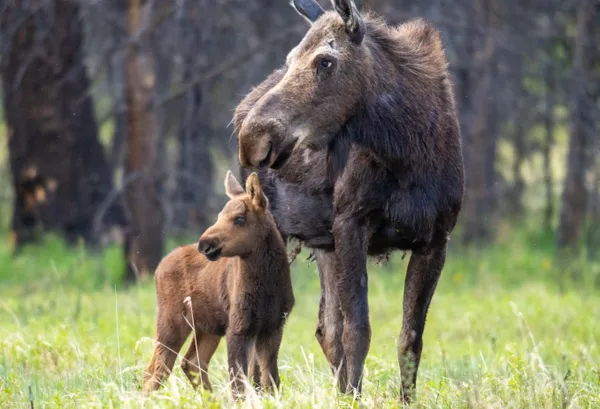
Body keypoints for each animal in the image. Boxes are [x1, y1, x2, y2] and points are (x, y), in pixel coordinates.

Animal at [145, 170, 296, 396]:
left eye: (239, 218)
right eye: (218, 216)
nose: (204, 244)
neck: (267, 284)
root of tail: (158, 268)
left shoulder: (274, 325)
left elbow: (270, 380)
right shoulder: (238, 326)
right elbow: (239, 382)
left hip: (208, 326)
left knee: (191, 362)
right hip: (172, 319)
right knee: (157, 370)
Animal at [232, 0, 462, 402]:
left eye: (325, 61)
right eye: (290, 58)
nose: (252, 138)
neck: (408, 150)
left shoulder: (436, 238)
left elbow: (410, 337)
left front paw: (402, 399)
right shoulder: (352, 223)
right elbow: (359, 330)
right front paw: (354, 397)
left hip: (324, 243)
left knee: (325, 328)